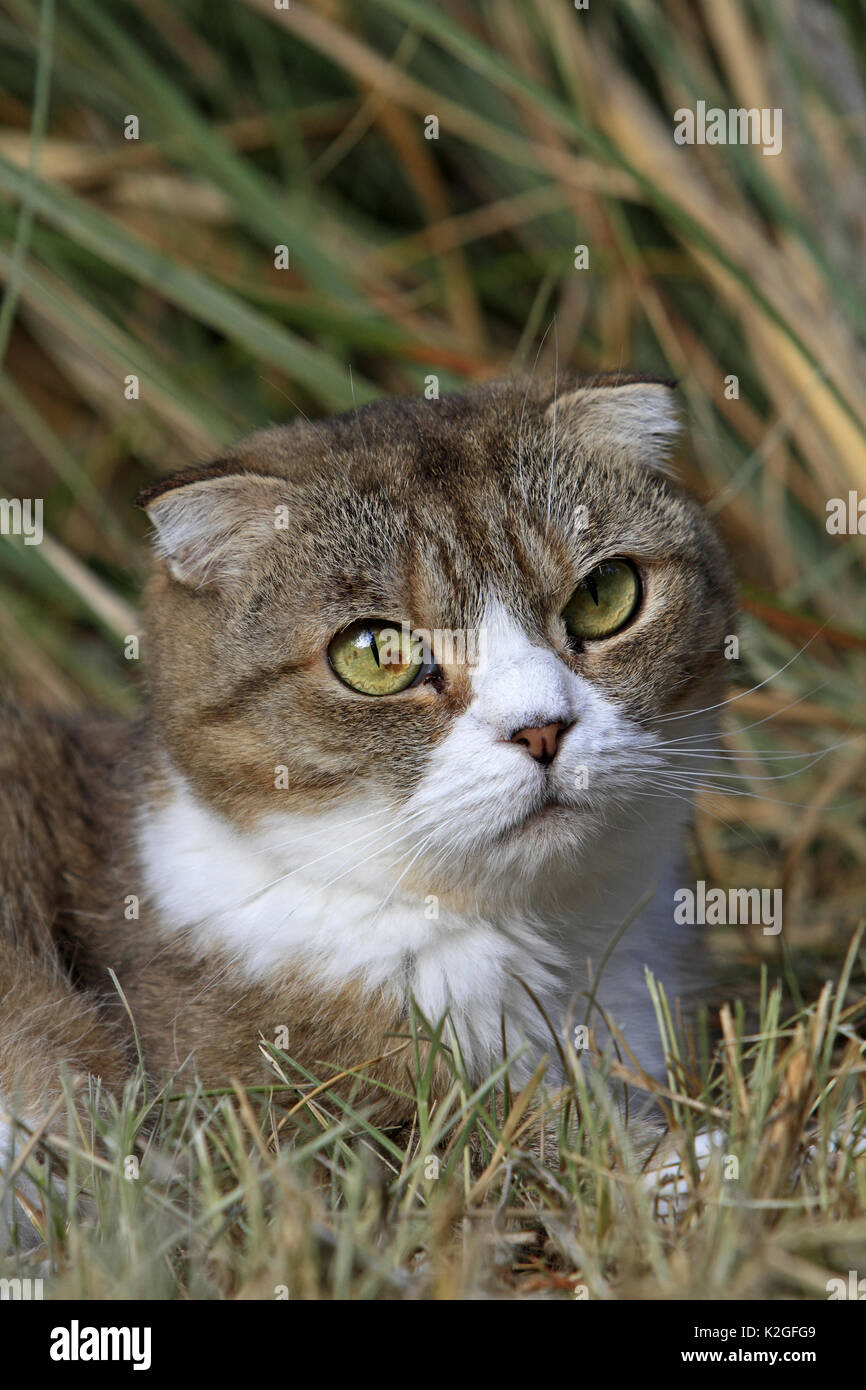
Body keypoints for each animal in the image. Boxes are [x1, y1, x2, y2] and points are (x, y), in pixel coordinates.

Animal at [0, 372, 739, 1195]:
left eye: (604, 594)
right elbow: (500, 1148)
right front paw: (702, 1162)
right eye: (376, 652)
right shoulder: (253, 1126)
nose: (541, 728)